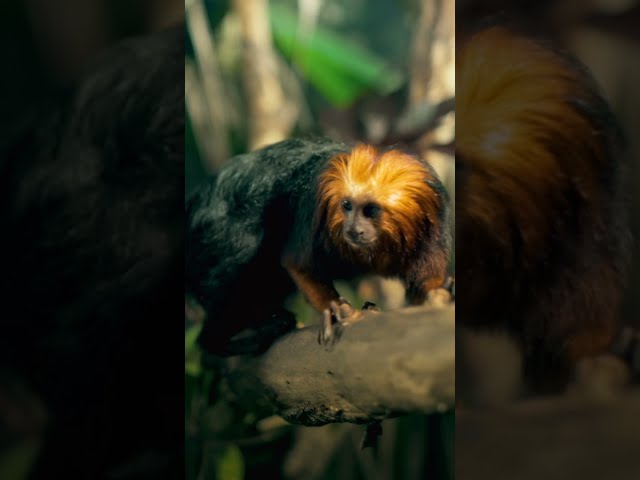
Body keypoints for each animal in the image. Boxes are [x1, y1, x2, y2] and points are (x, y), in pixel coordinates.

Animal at [185, 138, 452, 356]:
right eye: (347, 206)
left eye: (370, 210)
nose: (353, 229)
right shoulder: (311, 207)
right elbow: (298, 263)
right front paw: (333, 309)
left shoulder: (431, 228)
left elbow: (424, 283)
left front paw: (438, 295)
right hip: (216, 230)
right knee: (240, 258)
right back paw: (224, 340)